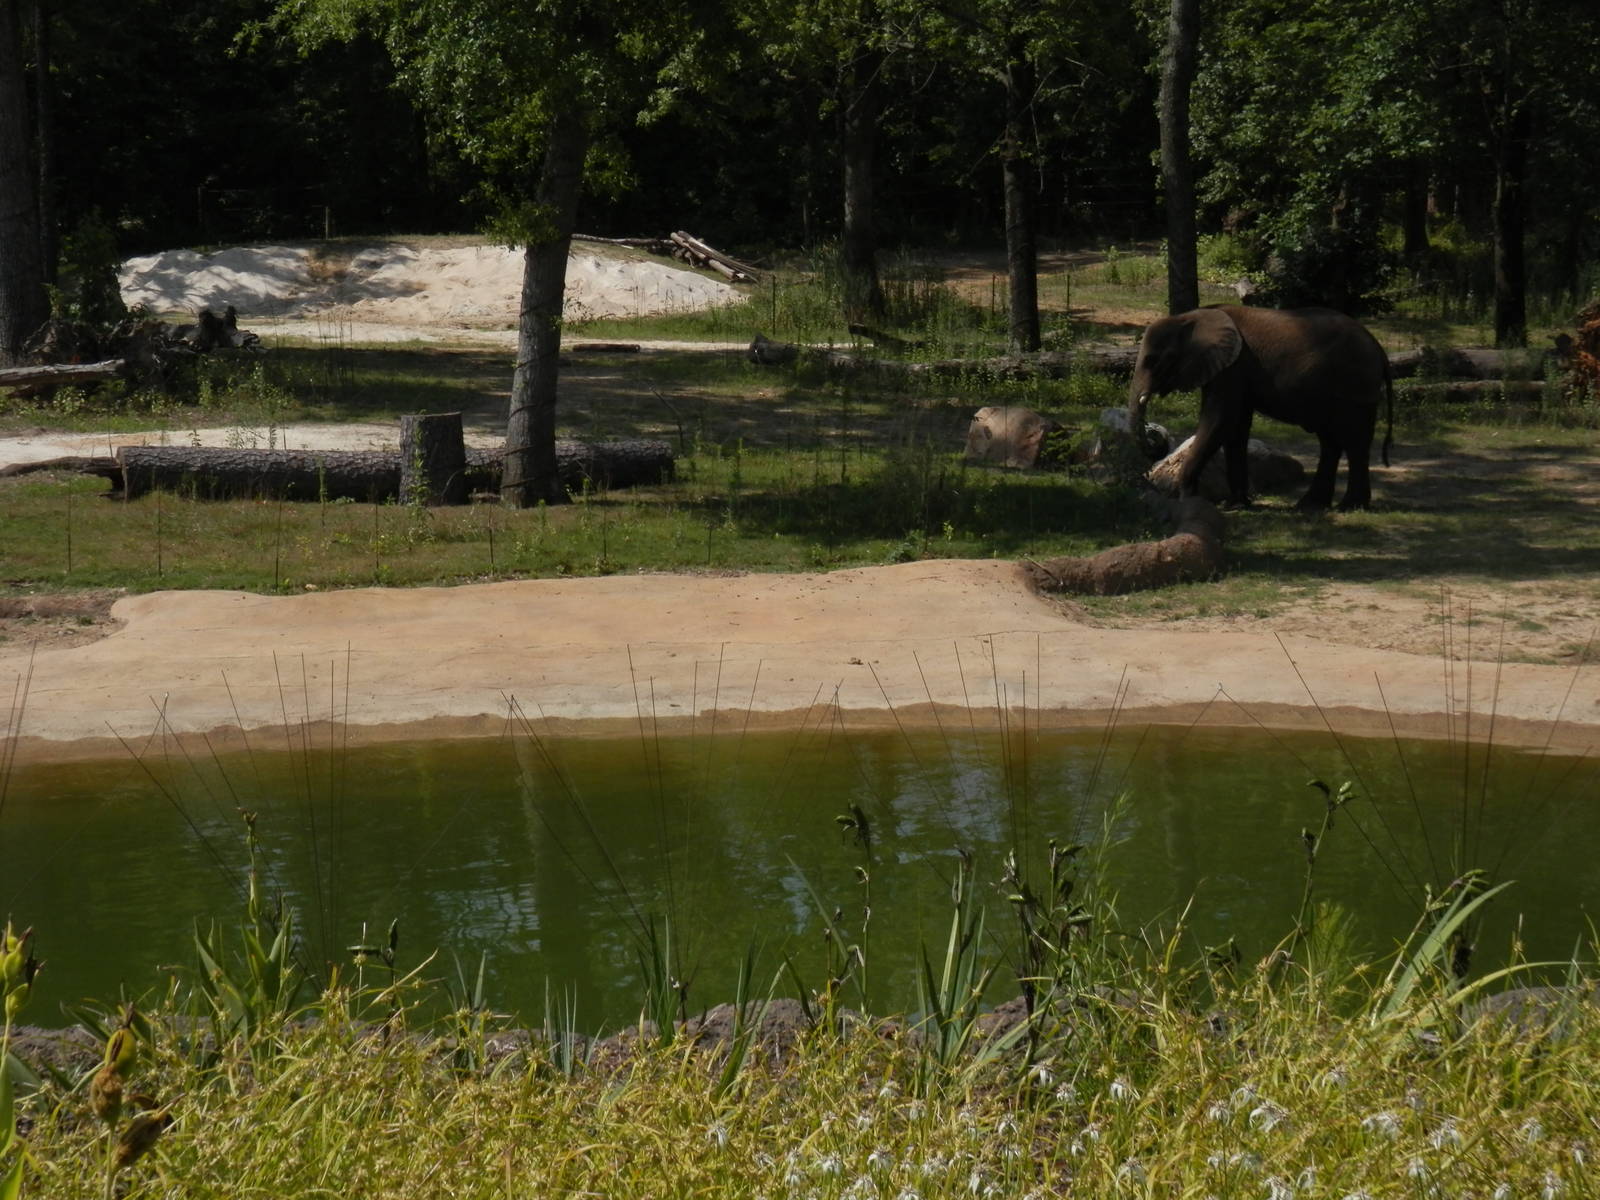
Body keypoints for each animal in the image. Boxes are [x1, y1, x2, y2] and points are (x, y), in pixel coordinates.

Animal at [1127, 305, 1394, 510]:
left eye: (1151, 360)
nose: (1155, 439)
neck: (1191, 316)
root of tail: (1379, 348)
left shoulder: (1232, 369)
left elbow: (1219, 421)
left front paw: (1188, 501)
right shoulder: (1233, 370)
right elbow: (1236, 428)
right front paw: (1236, 505)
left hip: (1356, 384)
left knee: (1355, 441)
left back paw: (1349, 506)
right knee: (1330, 442)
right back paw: (1311, 506)